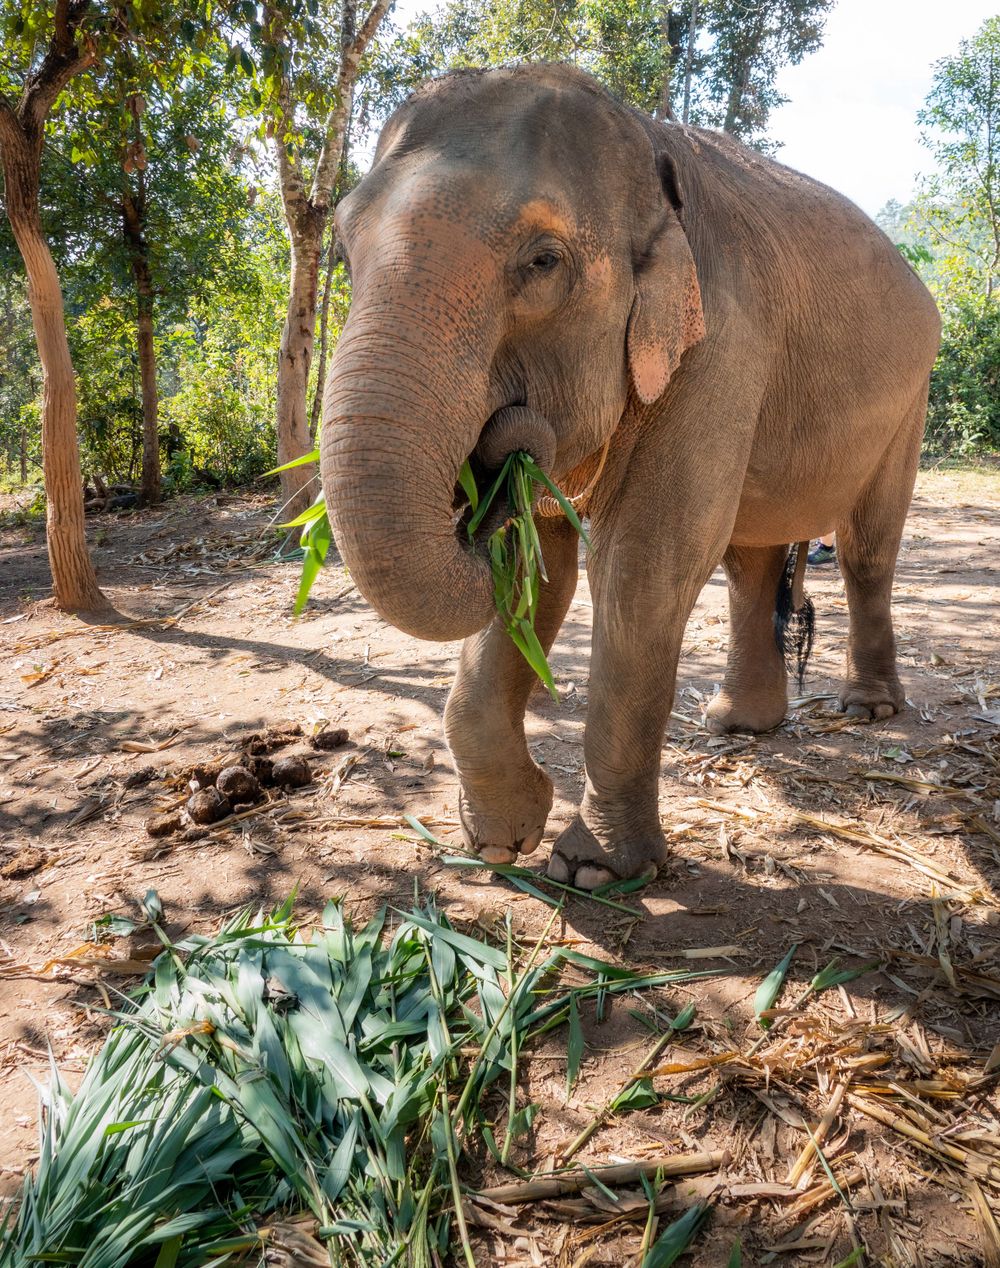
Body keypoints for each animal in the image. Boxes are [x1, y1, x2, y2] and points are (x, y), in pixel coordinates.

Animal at [320, 63, 941, 891]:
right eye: (343, 253)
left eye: (543, 260)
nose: (498, 446)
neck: (650, 146)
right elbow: (539, 567)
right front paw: (497, 842)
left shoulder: (721, 342)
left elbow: (644, 563)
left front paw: (596, 872)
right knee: (749, 560)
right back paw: (737, 723)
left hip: (911, 397)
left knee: (866, 549)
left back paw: (865, 711)